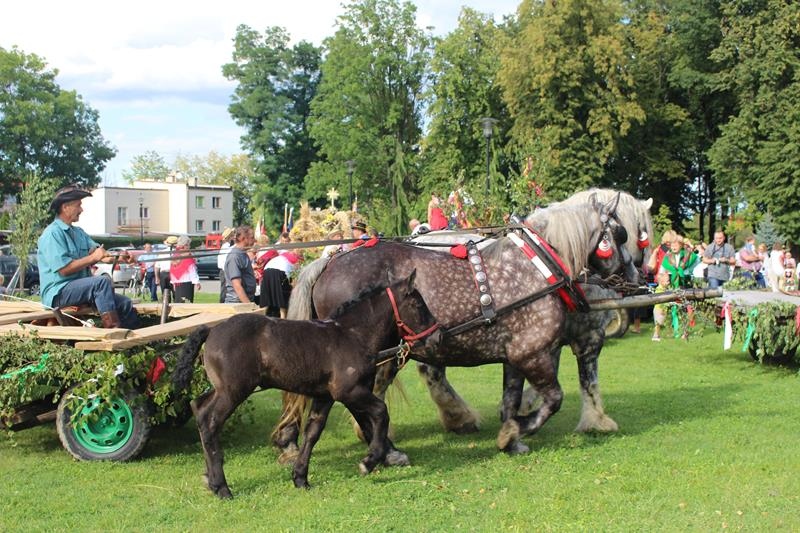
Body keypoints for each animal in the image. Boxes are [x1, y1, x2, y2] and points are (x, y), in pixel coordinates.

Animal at [172, 271, 439, 498]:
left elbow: (313, 432)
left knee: (198, 408)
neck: (352, 335)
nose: (437, 336)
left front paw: (300, 477)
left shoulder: (325, 396)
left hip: (222, 389)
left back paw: (209, 478)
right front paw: (369, 461)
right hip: (233, 391)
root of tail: (212, 330)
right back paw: (221, 486)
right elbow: (381, 413)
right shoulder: (350, 391)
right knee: (210, 421)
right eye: (418, 305)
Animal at [275, 194, 630, 462]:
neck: (537, 266)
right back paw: (387, 451)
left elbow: (511, 399)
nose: (635, 276)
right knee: (366, 404)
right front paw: (522, 428)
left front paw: (510, 436)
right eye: (621, 234)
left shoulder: (517, 355)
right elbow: (554, 398)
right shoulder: (534, 353)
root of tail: (329, 262)